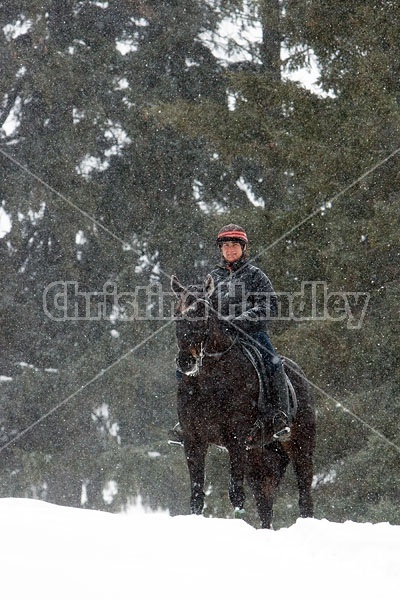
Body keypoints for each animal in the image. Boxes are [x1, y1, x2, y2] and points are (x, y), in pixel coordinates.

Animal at [171, 274, 316, 528]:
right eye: (177, 313)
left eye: (202, 312)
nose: (185, 361)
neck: (210, 382)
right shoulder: (193, 440)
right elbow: (197, 495)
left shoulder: (236, 441)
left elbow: (236, 493)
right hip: (259, 454)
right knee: (264, 501)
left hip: (301, 446)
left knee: (304, 498)